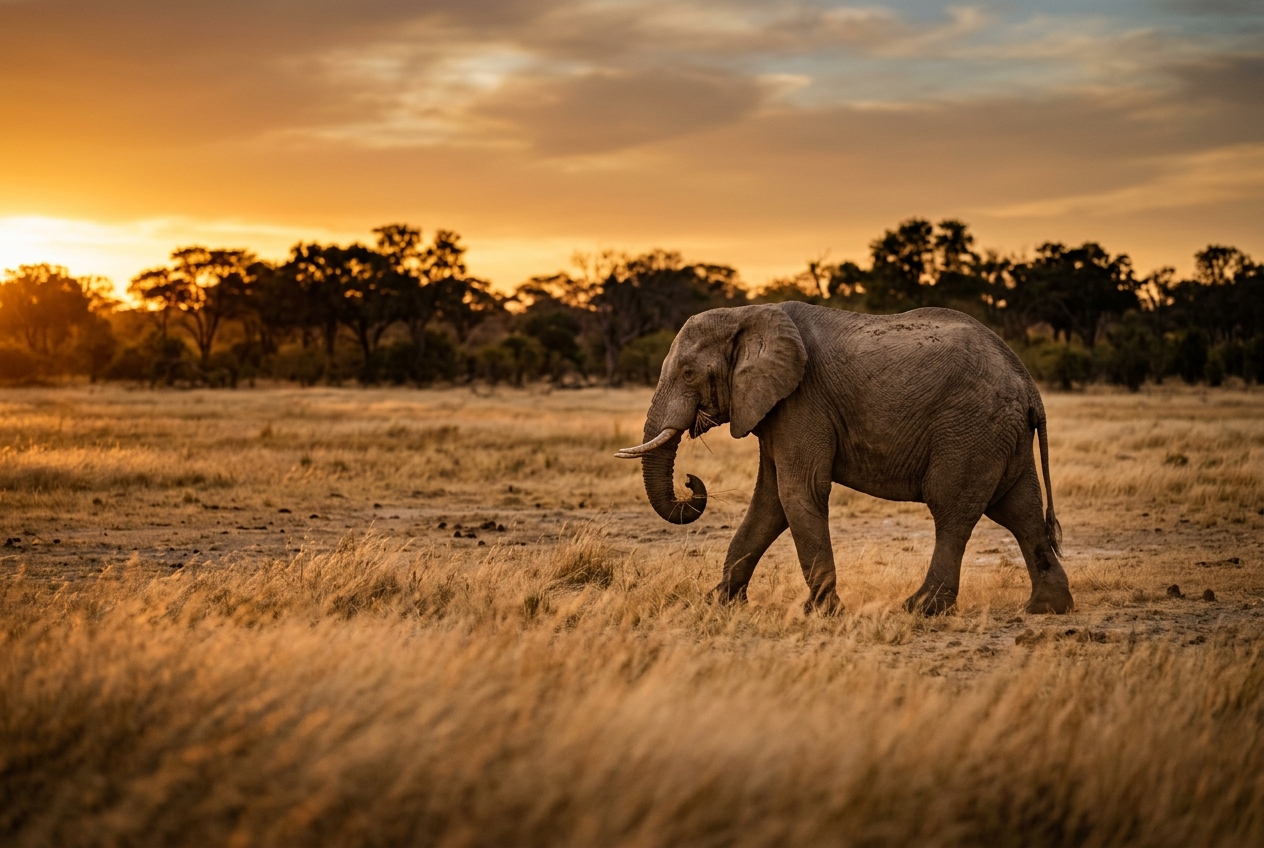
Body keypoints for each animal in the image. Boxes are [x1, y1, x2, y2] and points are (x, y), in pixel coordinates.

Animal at [614, 302, 1073, 616]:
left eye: (688, 374)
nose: (690, 481)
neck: (747, 314)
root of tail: (1028, 384)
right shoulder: (776, 408)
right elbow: (770, 502)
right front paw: (719, 603)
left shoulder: (802, 401)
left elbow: (797, 492)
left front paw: (822, 613)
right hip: (1001, 435)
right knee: (1021, 510)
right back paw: (1046, 609)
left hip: (971, 430)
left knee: (952, 510)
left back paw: (919, 608)